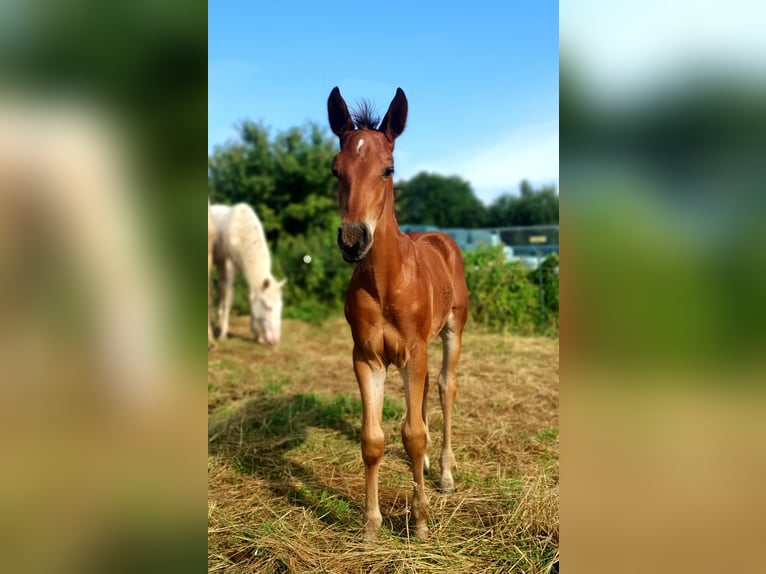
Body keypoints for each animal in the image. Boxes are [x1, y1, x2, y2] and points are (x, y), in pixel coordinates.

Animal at [210, 204, 284, 344]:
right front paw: (223, 334)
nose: (275, 340)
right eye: (268, 307)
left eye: (280, 307)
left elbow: (251, 299)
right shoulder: (229, 265)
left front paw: (257, 335)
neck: (241, 234)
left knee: (220, 288)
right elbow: (229, 299)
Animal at [328, 86, 472, 540]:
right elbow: (373, 439)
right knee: (424, 401)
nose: (353, 240)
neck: (386, 283)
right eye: (335, 170)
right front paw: (371, 524)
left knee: (444, 388)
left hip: (451, 331)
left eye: (388, 169)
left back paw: (444, 473)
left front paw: (421, 519)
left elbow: (413, 434)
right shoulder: (367, 357)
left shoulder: (414, 352)